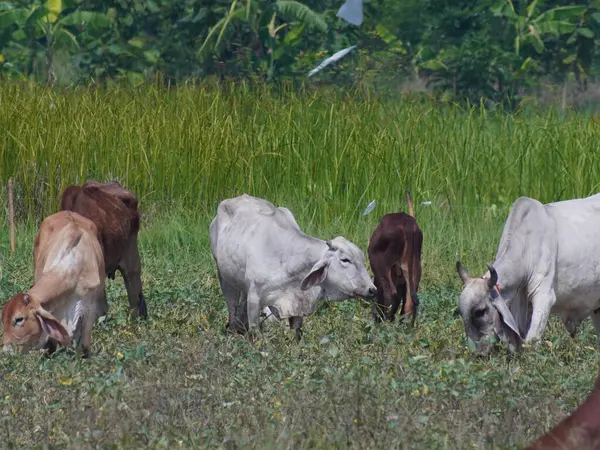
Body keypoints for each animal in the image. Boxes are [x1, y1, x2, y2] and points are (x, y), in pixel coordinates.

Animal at [210, 194, 376, 342]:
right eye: (345, 260)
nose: (372, 289)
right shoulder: (254, 299)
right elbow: (256, 333)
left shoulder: (298, 304)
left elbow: (296, 331)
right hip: (224, 276)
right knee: (232, 307)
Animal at [366, 190, 422, 324]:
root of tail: (408, 225)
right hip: (414, 268)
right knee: (410, 303)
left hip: (382, 266)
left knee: (392, 295)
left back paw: (386, 321)